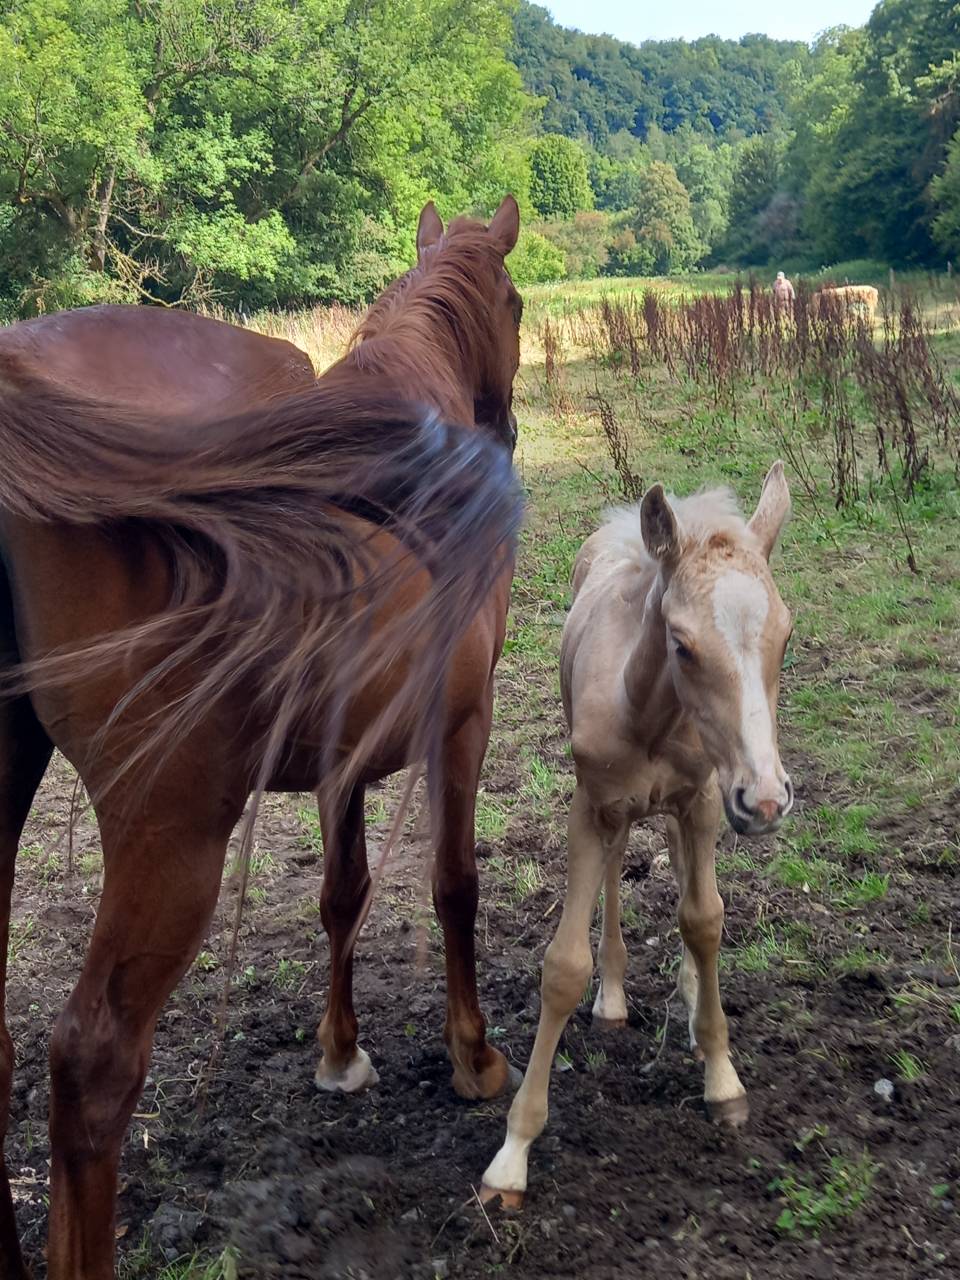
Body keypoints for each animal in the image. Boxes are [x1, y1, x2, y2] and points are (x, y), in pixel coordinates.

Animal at [0, 194, 523, 1279]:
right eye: (521, 304)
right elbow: (454, 884)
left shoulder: (344, 757)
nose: (506, 428)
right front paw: (473, 1055)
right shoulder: (463, 723)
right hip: (171, 829)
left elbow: (342, 895)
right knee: (92, 1064)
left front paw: (340, 1053)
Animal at [482, 463, 794, 1207]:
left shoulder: (706, 798)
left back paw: (686, 997)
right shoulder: (591, 806)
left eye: (786, 636)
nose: (767, 800)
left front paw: (721, 1077)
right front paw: (511, 1156)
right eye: (682, 644)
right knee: (621, 866)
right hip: (622, 807)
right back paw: (616, 997)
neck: (648, 708)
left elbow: (704, 918)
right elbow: (564, 967)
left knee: (680, 872)